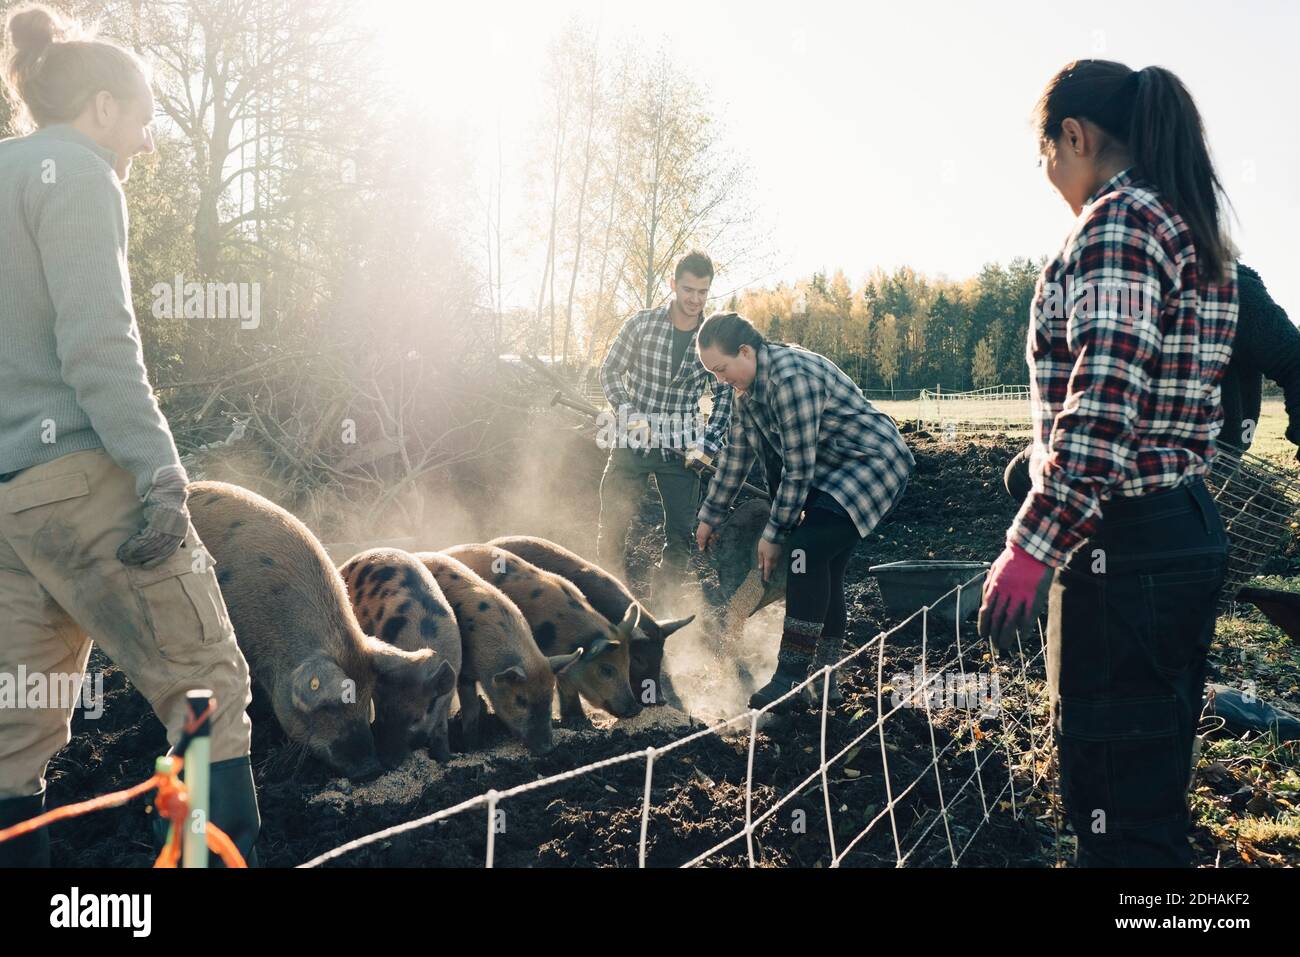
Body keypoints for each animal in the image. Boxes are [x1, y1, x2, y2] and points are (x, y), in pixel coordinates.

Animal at [410, 553, 574, 754]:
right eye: (521, 700)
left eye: (550, 697)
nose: (546, 749)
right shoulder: (464, 674)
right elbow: (472, 710)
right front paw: (471, 748)